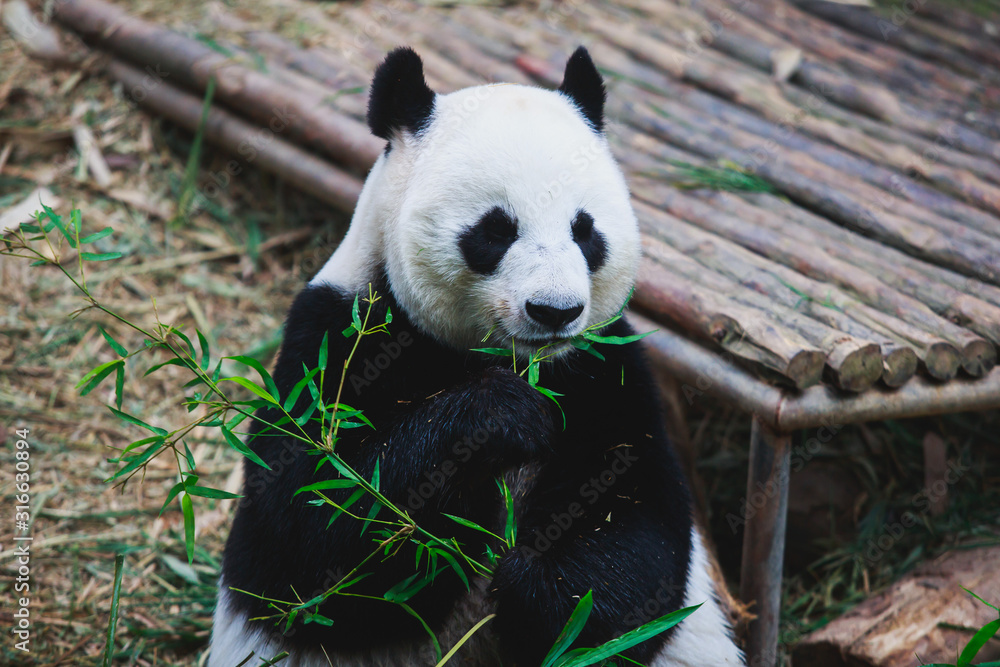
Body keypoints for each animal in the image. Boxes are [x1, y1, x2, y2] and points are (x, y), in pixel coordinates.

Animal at [210, 47, 745, 667]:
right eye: (495, 229)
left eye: (585, 230)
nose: (554, 311)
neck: (505, 358)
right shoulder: (334, 342)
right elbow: (301, 537)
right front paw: (500, 419)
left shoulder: (607, 371)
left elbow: (639, 538)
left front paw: (533, 583)